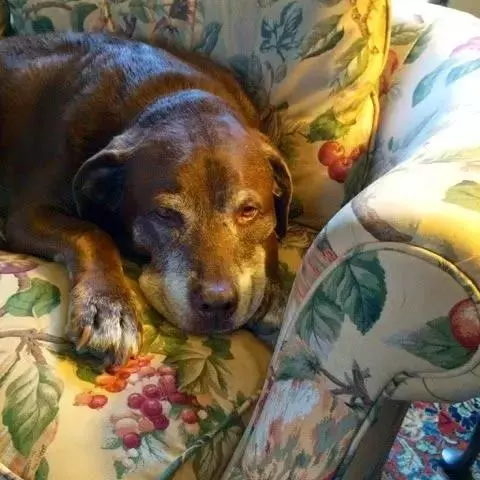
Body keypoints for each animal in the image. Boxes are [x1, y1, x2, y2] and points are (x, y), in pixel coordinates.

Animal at [0, 32, 292, 366]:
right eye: (164, 214)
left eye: (248, 210)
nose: (217, 303)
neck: (171, 93)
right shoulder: (28, 215)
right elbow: (91, 233)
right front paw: (108, 307)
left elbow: (272, 237)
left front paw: (273, 293)